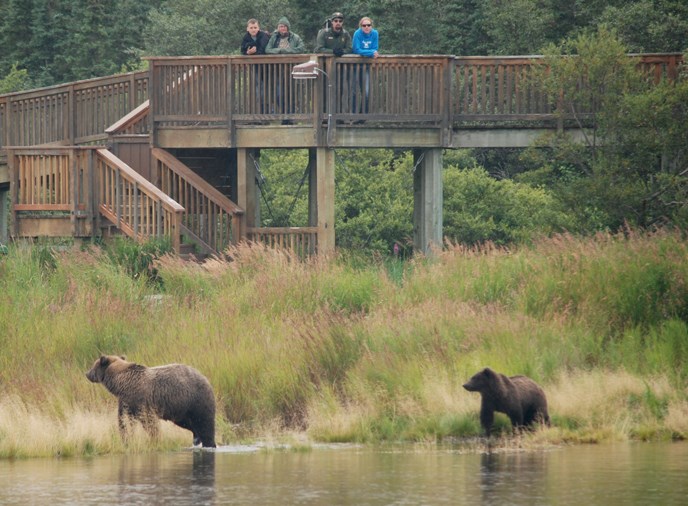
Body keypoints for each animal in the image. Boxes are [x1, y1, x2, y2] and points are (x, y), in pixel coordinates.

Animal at [86, 356, 216, 446]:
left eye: (93, 365)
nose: (87, 373)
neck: (120, 383)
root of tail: (206, 379)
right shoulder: (126, 401)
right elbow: (124, 420)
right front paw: (126, 439)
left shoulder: (140, 399)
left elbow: (148, 421)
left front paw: (154, 439)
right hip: (182, 411)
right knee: (192, 425)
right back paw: (196, 438)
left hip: (197, 400)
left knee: (205, 425)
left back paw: (209, 443)